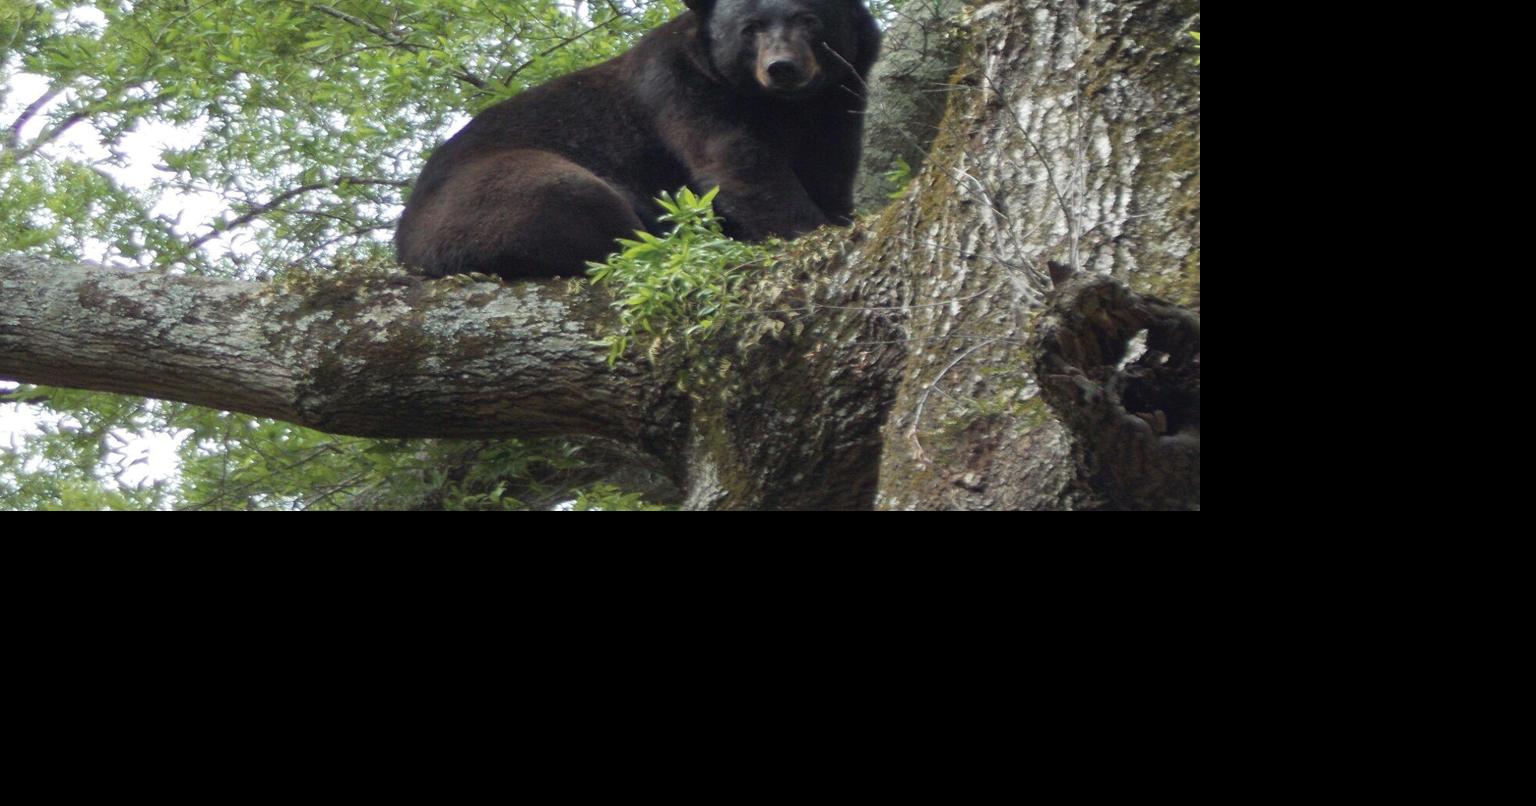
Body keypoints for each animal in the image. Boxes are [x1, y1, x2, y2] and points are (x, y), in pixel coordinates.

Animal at [394, 0, 881, 280]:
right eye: (750, 27)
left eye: (810, 19)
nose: (782, 67)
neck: (782, 107)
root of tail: (406, 248)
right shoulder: (683, 89)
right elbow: (738, 163)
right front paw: (810, 231)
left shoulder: (838, 100)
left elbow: (830, 166)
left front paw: (837, 215)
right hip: (486, 194)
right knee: (569, 195)